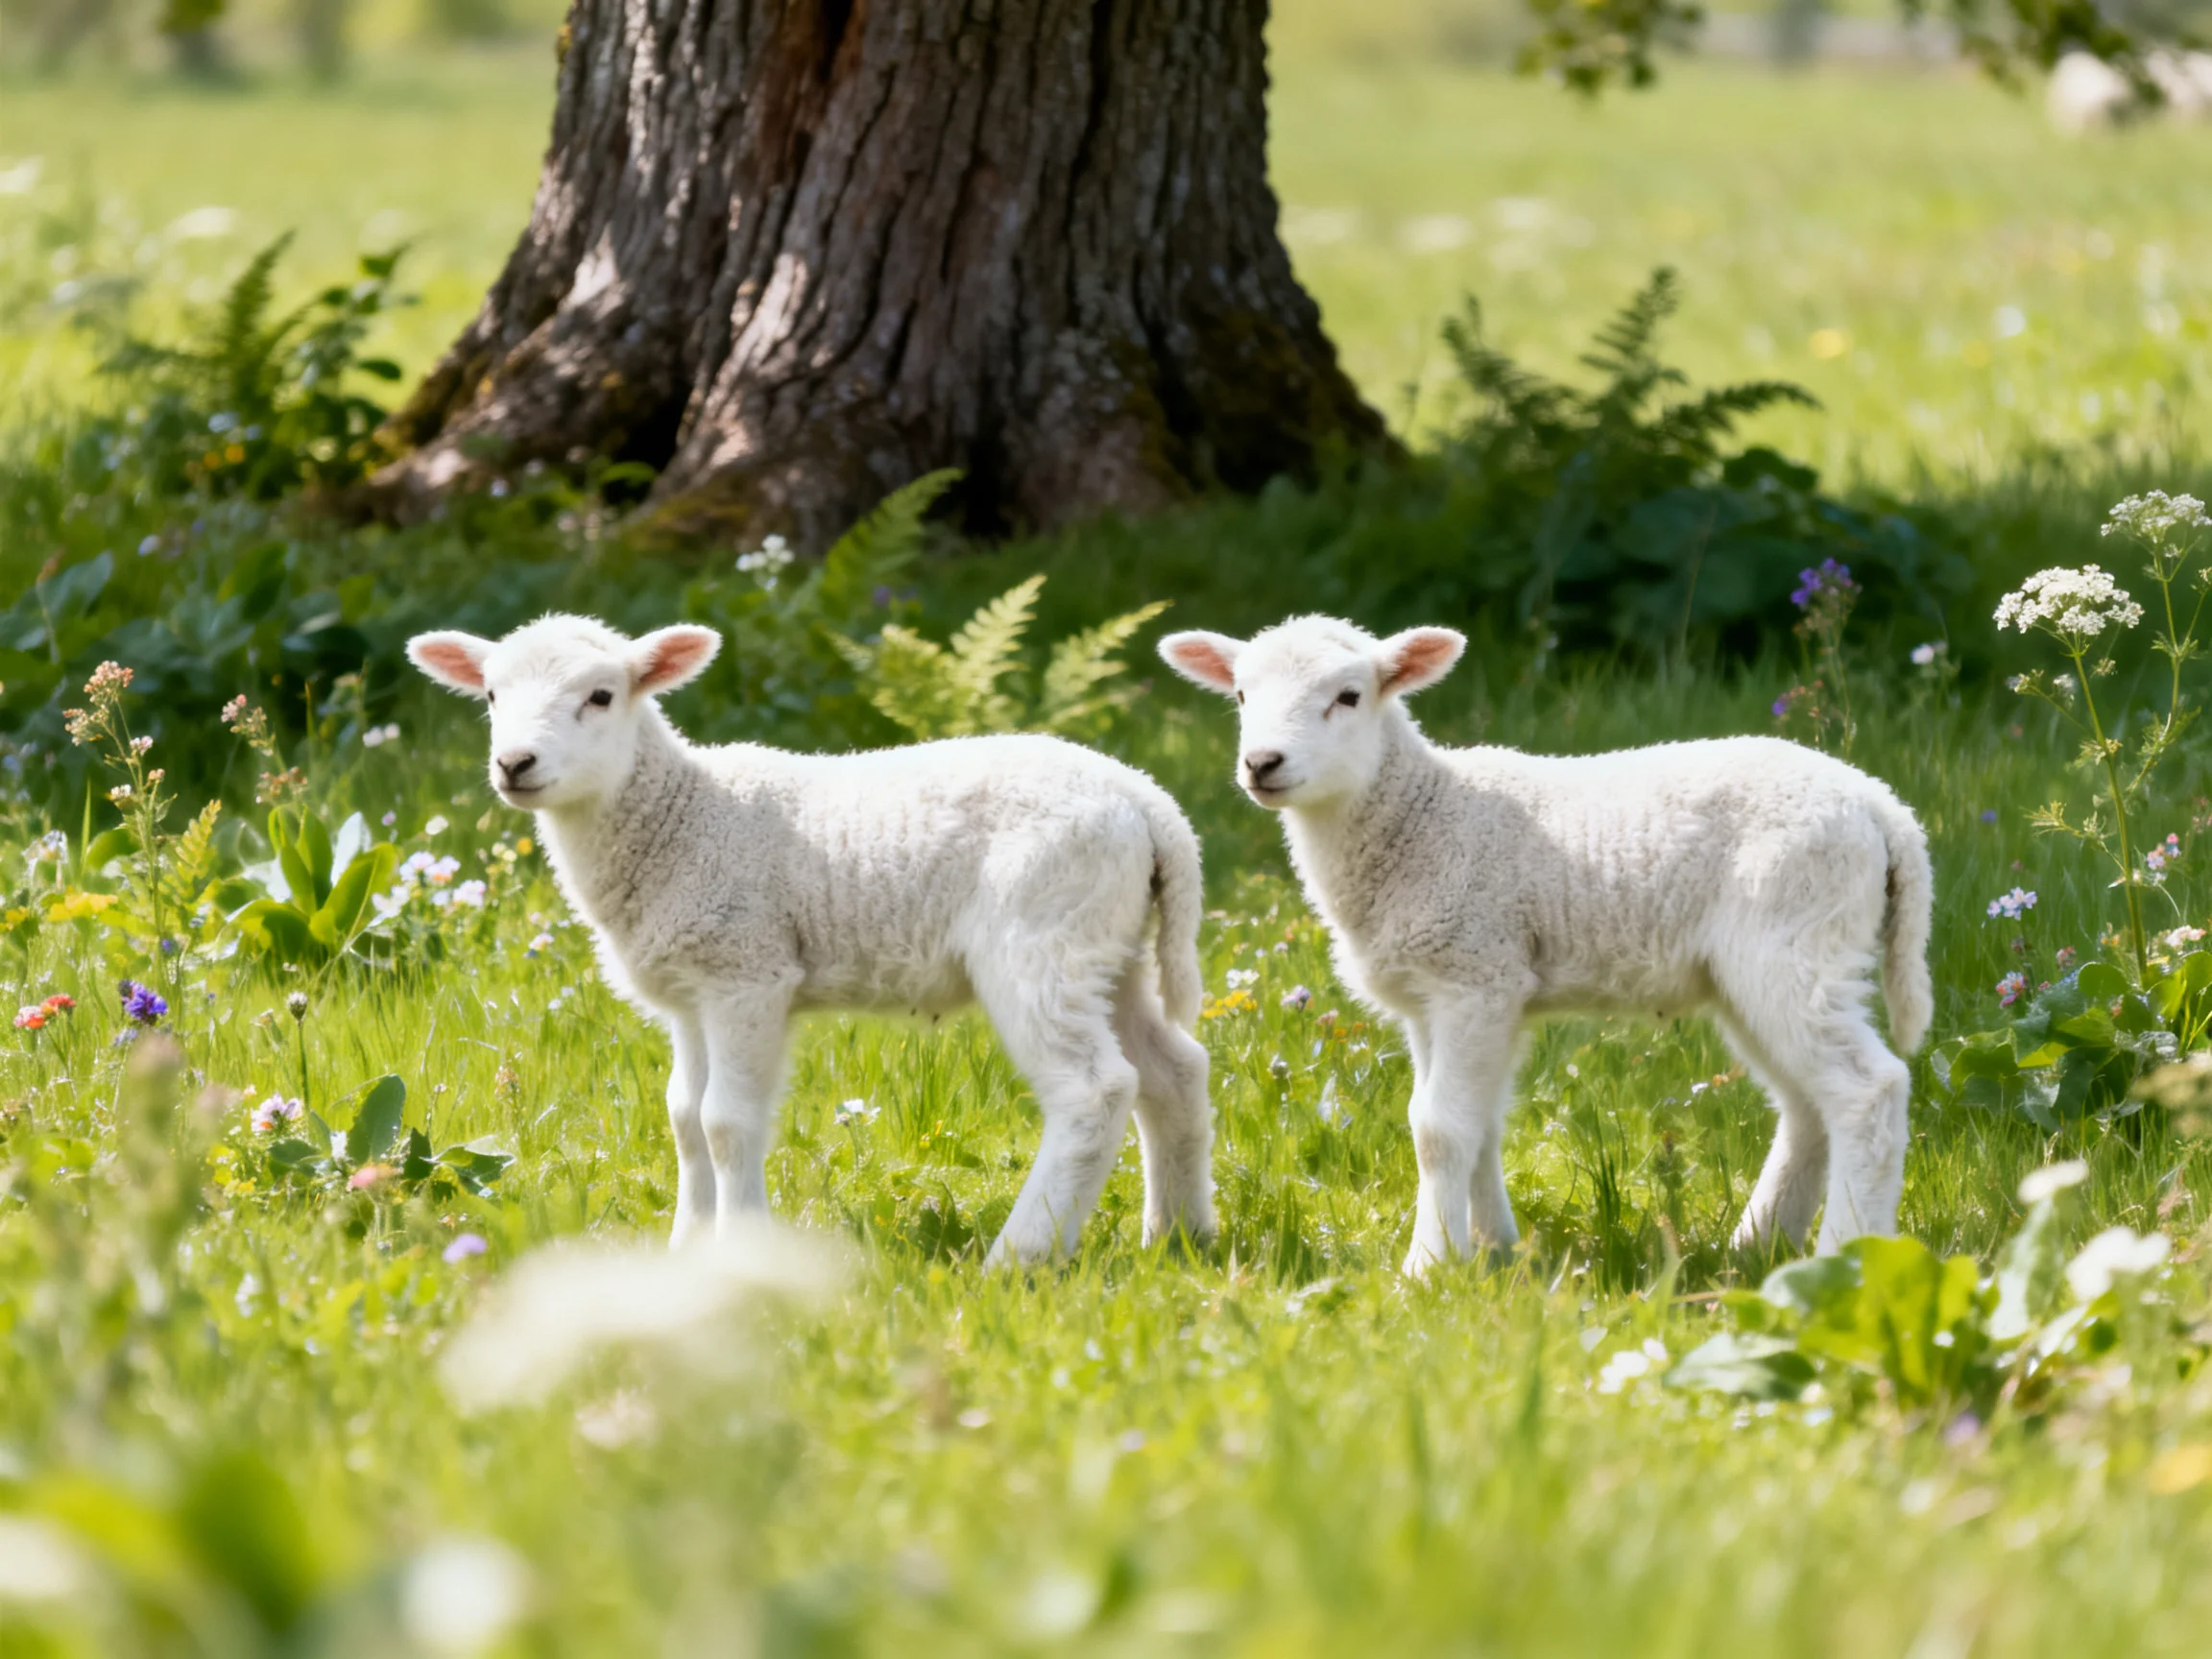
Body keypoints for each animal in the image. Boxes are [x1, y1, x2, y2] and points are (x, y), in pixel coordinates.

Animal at [407, 613, 1214, 1265]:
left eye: (601, 696)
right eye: (490, 696)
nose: (515, 764)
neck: (679, 818)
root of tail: (1151, 805)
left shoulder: (747, 970)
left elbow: (725, 1123)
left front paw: (741, 1250)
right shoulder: (693, 990)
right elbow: (683, 1119)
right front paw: (685, 1251)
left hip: (1041, 936)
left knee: (1094, 1090)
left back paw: (1021, 1255)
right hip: (1108, 945)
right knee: (1173, 1071)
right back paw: (1179, 1236)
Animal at [1159, 615, 1933, 1273]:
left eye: (1348, 697)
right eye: (1240, 694)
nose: (1263, 763)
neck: (1420, 816)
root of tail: (1883, 808)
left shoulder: (1475, 973)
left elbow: (1438, 1129)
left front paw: (1427, 1267)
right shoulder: (1445, 994)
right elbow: (1475, 1126)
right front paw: (1494, 1252)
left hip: (1795, 938)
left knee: (1867, 1090)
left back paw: (1847, 1252)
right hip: (1758, 970)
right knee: (1806, 1107)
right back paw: (1759, 1243)